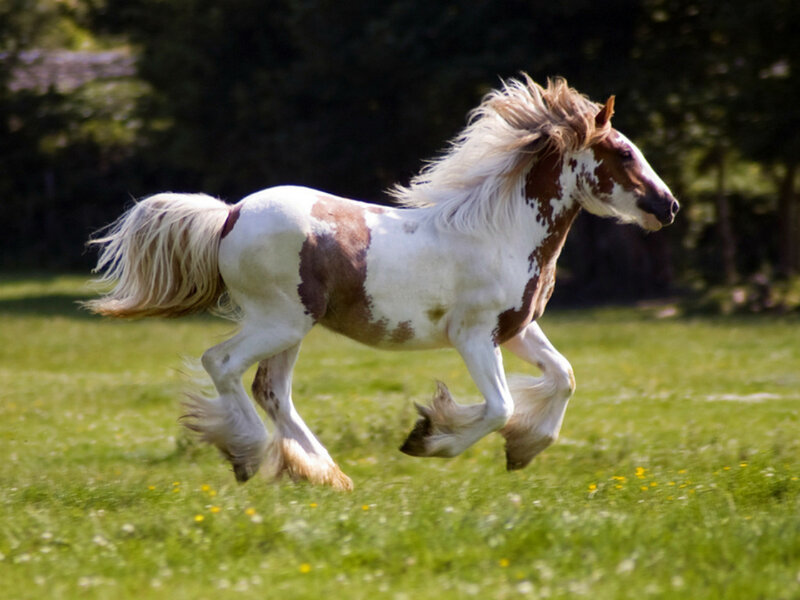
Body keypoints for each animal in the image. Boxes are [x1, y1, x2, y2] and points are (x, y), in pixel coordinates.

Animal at [86, 76, 678, 491]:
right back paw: (251, 455)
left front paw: (523, 450)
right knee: (223, 363)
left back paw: (324, 474)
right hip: (279, 321)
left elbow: (563, 377)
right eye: (623, 152)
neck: (501, 233)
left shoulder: (517, 330)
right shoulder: (474, 336)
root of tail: (229, 215)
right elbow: (501, 407)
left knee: (271, 390)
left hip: (290, 328)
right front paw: (428, 438)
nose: (668, 206)